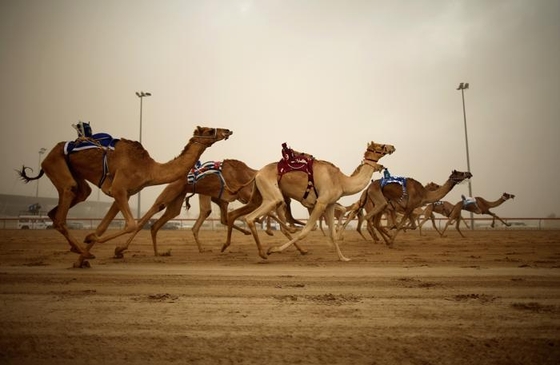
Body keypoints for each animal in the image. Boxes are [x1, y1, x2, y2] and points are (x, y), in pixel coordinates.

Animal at [17, 126, 232, 268]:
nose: (227, 131)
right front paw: (93, 243)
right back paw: (81, 249)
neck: (149, 168)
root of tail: (50, 152)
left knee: (62, 208)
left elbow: (104, 226)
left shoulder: (123, 194)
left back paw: (79, 250)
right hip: (55, 163)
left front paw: (82, 257)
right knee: (62, 212)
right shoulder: (119, 189)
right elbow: (131, 224)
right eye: (208, 130)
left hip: (76, 179)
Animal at [221, 141, 396, 260]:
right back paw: (264, 252)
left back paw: (227, 245)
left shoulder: (330, 204)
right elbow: (306, 231)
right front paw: (275, 249)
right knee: (251, 217)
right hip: (272, 195)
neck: (341, 181)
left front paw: (343, 258)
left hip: (258, 195)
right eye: (381, 146)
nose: (392, 147)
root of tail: (257, 173)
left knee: (238, 214)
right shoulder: (321, 202)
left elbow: (332, 233)